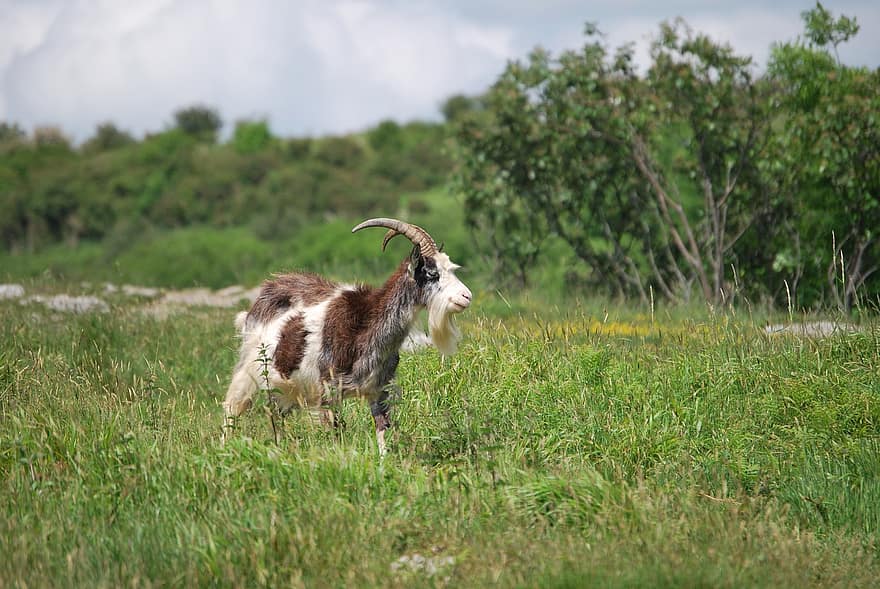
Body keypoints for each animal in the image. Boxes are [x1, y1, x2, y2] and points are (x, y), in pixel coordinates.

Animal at [223, 218, 470, 452]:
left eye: (451, 269)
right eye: (432, 274)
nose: (466, 296)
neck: (365, 326)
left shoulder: (379, 390)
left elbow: (383, 431)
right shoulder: (328, 391)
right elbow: (335, 433)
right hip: (249, 369)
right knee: (232, 407)